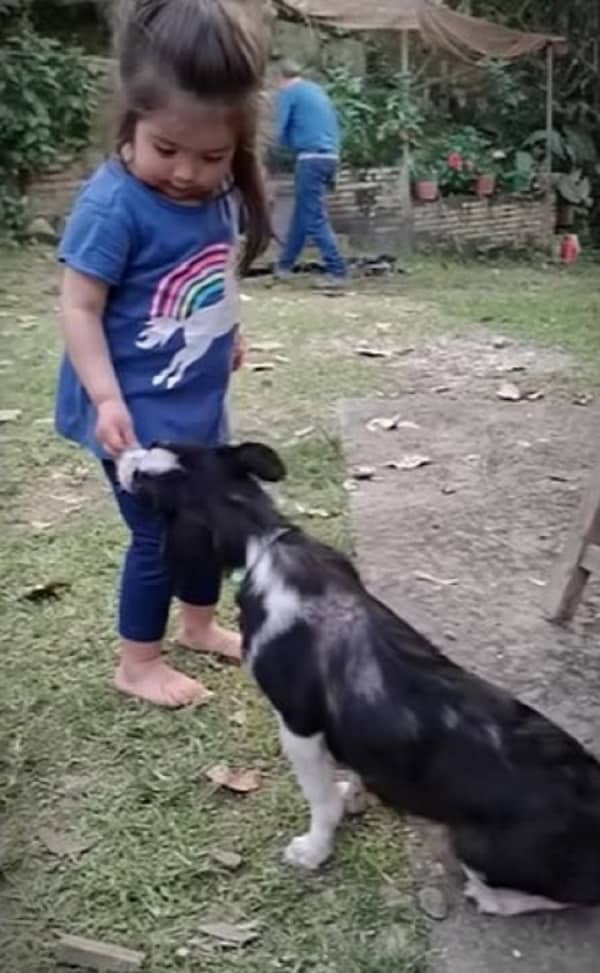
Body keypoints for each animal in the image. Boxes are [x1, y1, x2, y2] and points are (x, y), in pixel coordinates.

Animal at [118, 444, 600, 916]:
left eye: (144, 482)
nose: (121, 454)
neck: (263, 541)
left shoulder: (298, 727)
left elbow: (319, 798)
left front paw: (313, 849)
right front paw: (350, 792)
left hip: (474, 844)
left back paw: (491, 898)